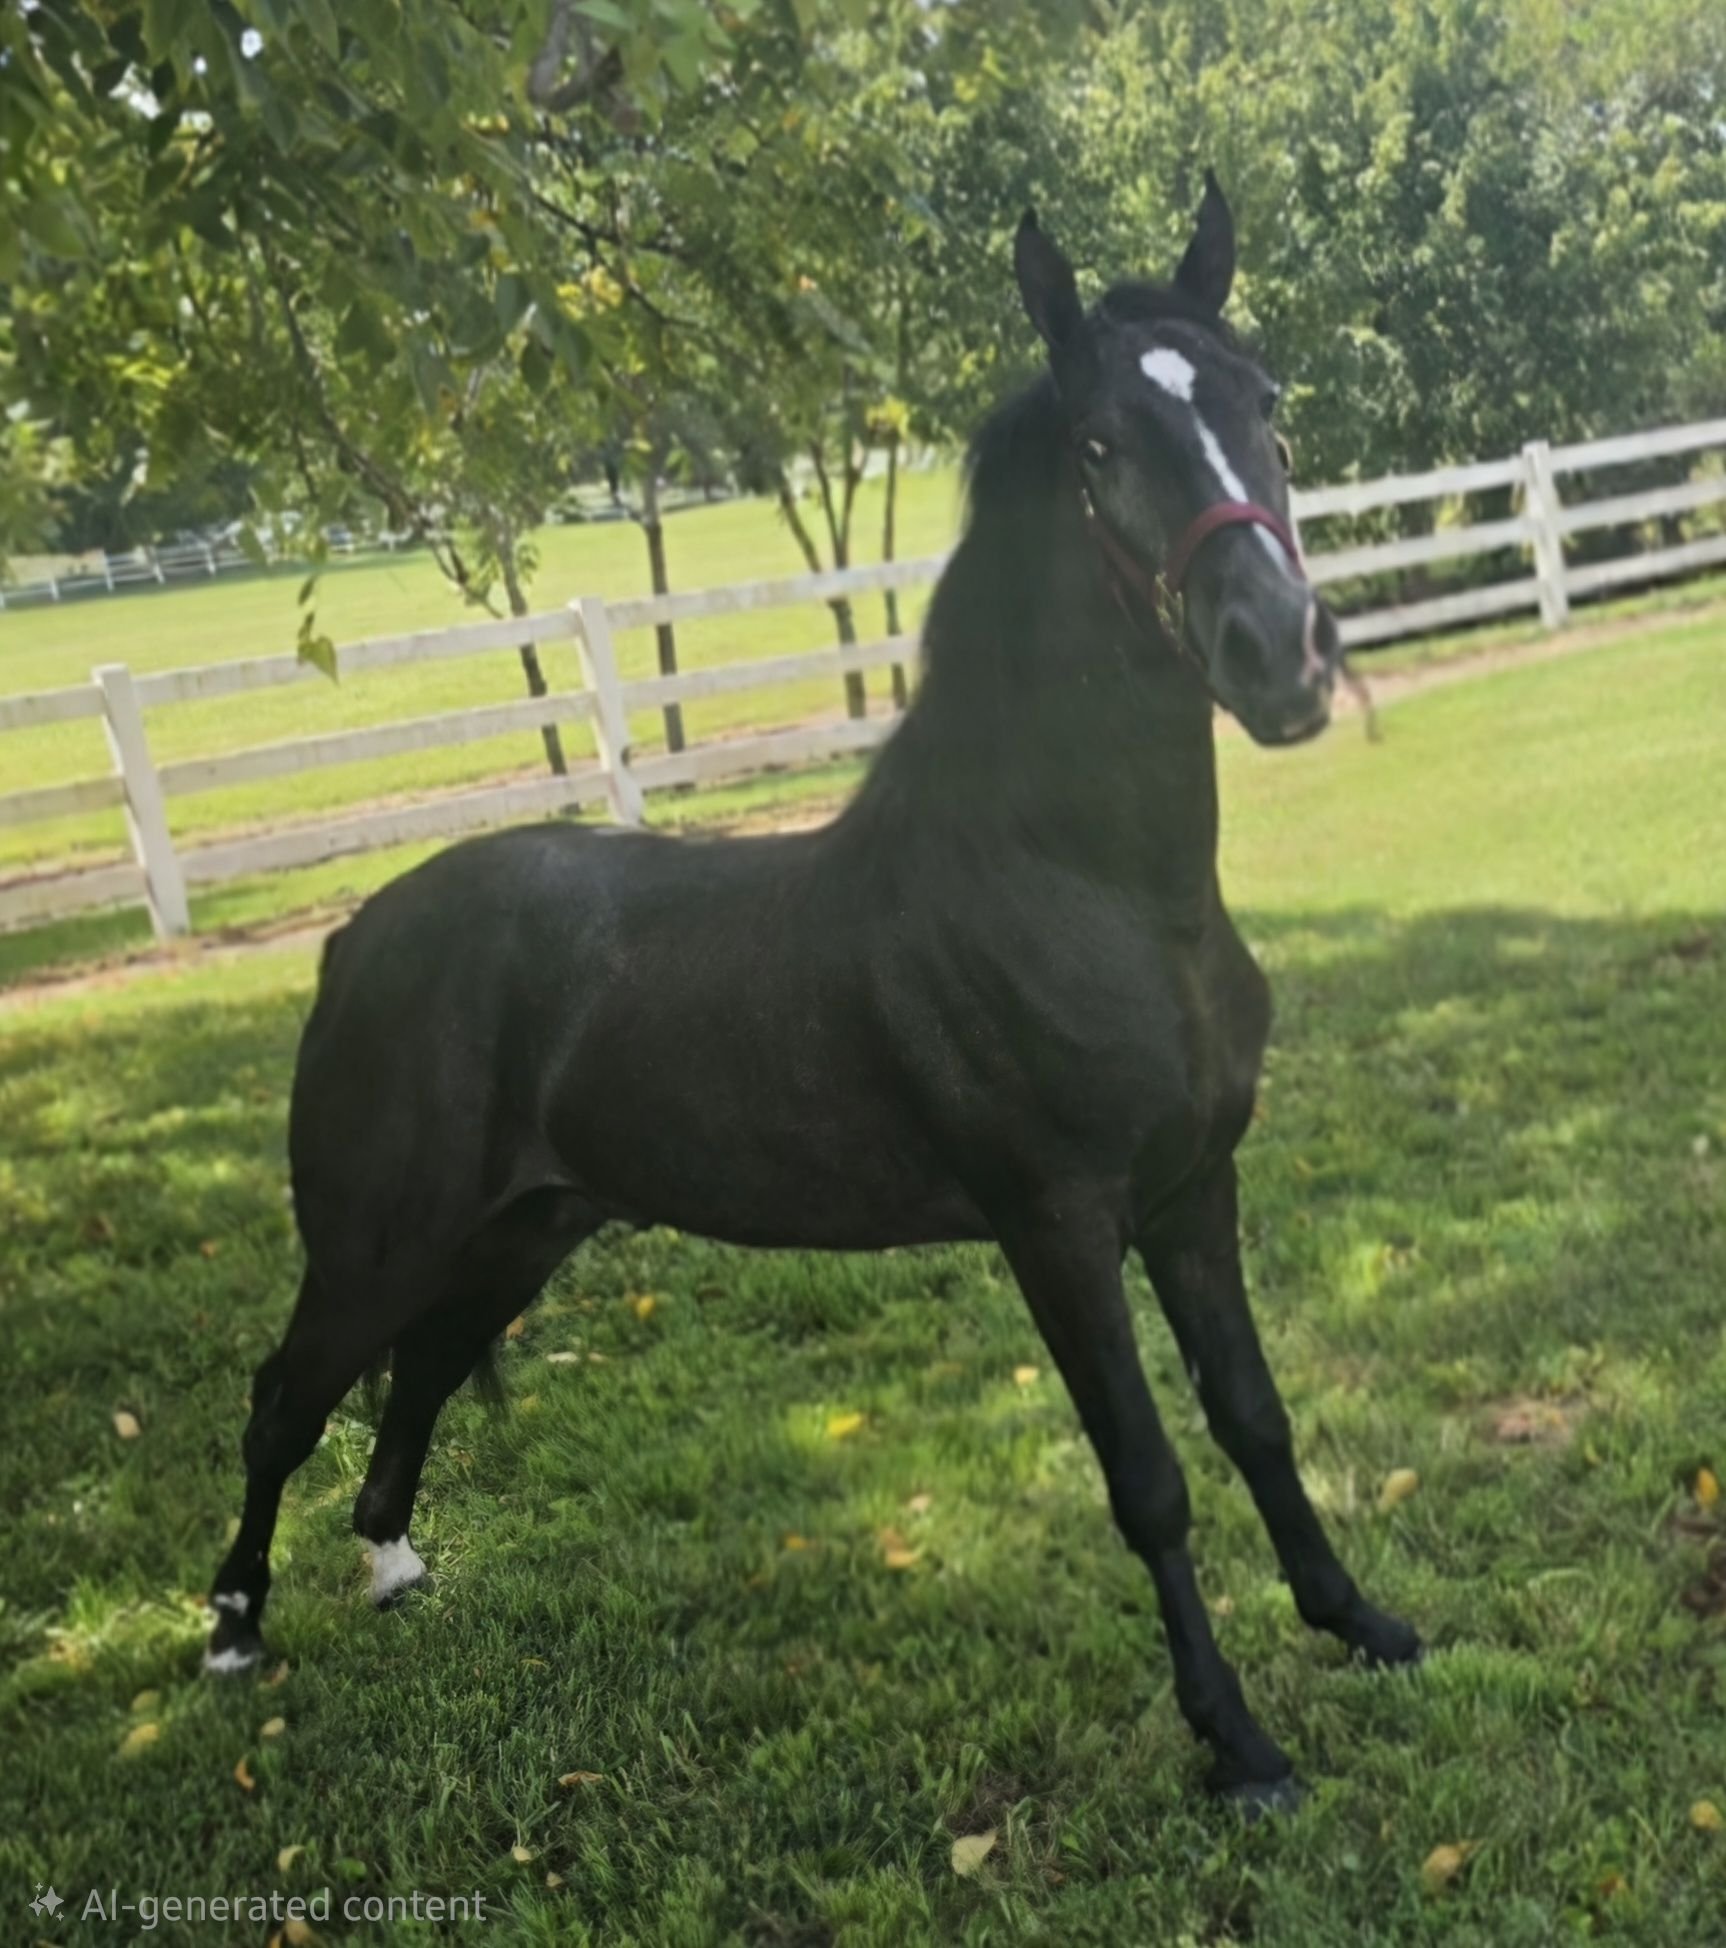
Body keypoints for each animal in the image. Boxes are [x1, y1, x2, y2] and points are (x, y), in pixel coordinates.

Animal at [205, 172, 1421, 1809]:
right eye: (1101, 447)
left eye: (1266, 405)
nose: (1278, 654)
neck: (1097, 892)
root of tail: (354, 939)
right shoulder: (1056, 1227)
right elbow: (1150, 1481)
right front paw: (1235, 1743)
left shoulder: (1191, 1193)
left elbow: (1255, 1417)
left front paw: (1361, 1624)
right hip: (374, 1244)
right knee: (290, 1395)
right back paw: (231, 1629)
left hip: (521, 1231)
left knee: (425, 1372)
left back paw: (395, 1569)